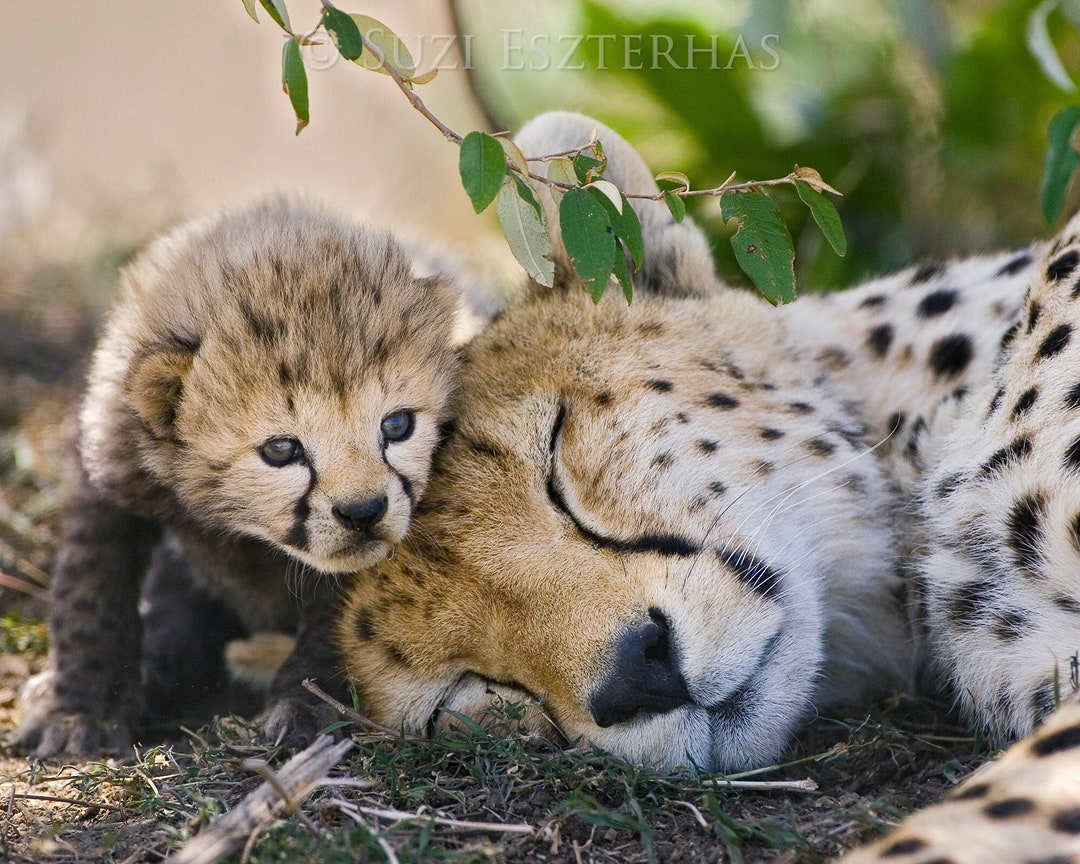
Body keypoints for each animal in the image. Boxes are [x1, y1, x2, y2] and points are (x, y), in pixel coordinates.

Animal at [15, 197, 463, 757]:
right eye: (281, 449)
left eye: (397, 424)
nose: (363, 513)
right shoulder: (110, 467)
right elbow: (89, 593)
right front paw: (81, 711)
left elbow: (338, 621)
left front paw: (305, 707)